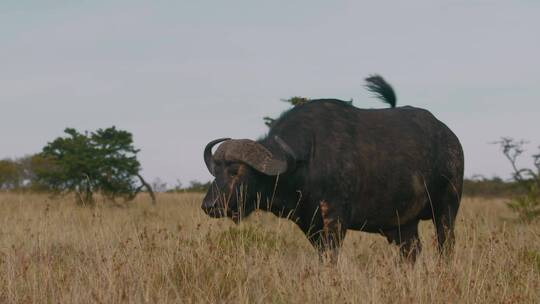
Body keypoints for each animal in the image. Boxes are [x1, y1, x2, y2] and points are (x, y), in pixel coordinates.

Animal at [202, 76, 464, 262]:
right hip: (403, 224)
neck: (306, 160)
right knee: (411, 252)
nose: (209, 206)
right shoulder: (310, 226)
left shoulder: (335, 219)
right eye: (215, 171)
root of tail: (451, 139)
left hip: (447, 209)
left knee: (446, 247)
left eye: (236, 171)